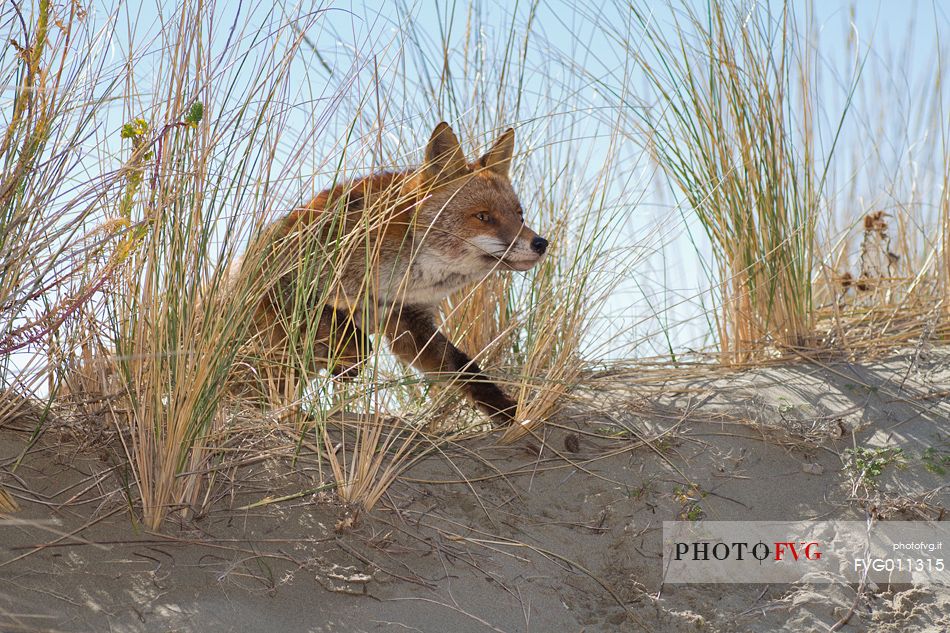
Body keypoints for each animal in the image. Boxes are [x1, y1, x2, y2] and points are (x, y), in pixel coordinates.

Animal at [238, 121, 552, 422]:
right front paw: (348, 362)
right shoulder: (287, 278)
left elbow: (466, 369)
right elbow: (349, 333)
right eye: (483, 217)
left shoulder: (408, 319)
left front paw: (508, 412)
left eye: (519, 215)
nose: (540, 243)